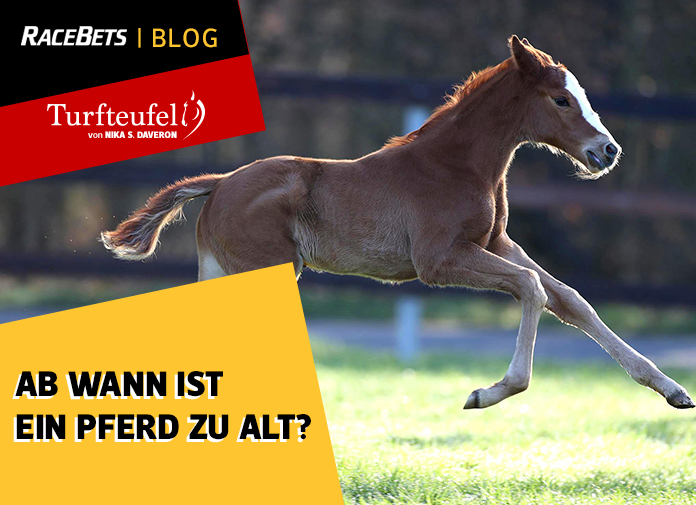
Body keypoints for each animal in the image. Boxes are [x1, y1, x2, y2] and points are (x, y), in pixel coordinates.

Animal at [101, 36, 694, 411]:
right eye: (562, 99)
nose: (607, 151)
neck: (457, 164)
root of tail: (220, 183)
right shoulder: (439, 260)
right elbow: (532, 288)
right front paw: (487, 393)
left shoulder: (496, 242)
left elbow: (568, 298)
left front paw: (672, 390)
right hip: (265, 272)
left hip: (221, 272)